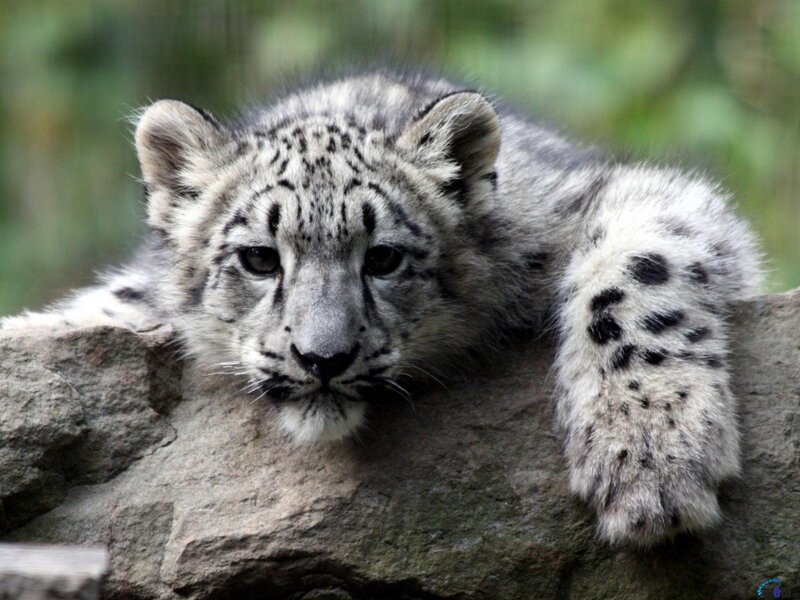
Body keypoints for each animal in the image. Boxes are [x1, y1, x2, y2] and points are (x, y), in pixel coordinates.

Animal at [0, 69, 762, 547]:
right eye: (259, 259)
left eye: (385, 258)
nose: (322, 357)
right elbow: (106, 307)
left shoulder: (622, 198)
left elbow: (635, 271)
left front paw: (651, 460)